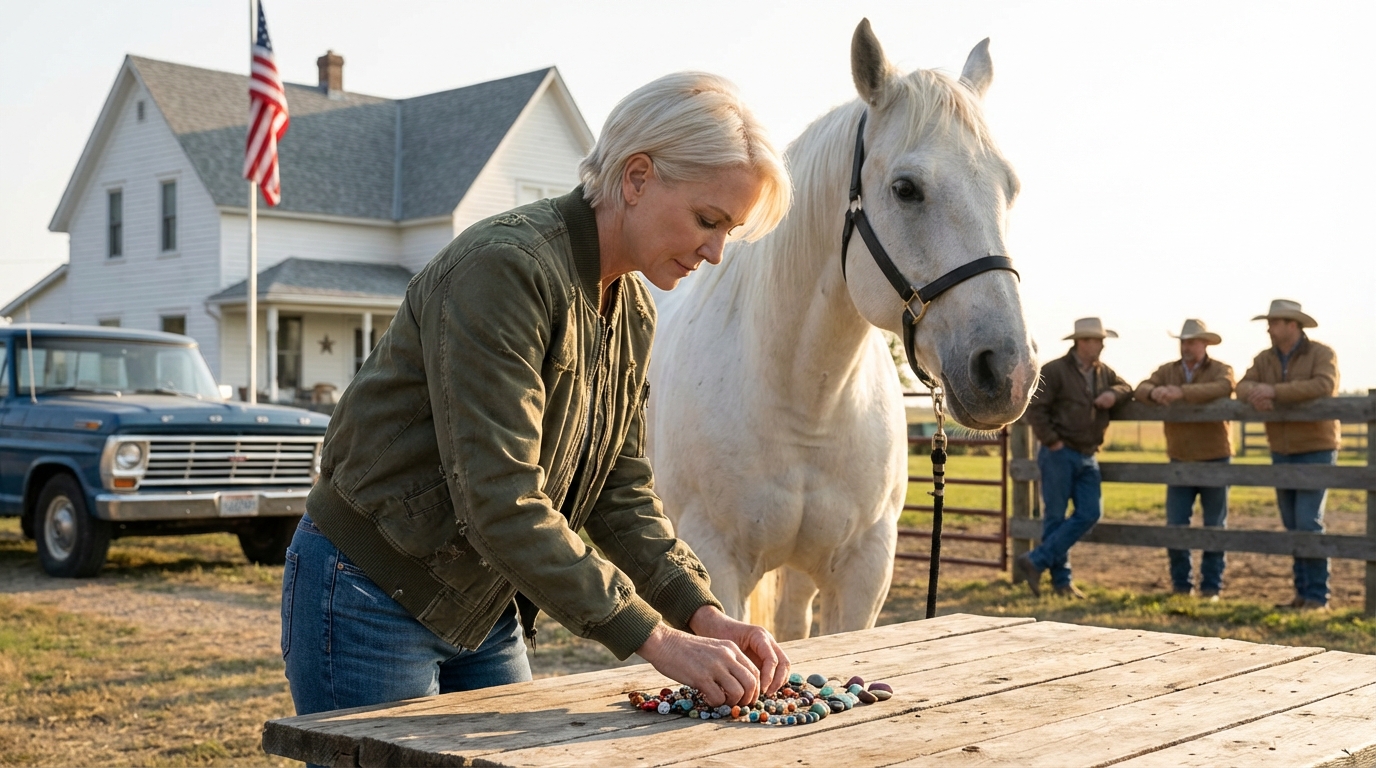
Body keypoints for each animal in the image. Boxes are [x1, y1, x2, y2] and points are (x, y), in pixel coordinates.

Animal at [646, 19, 1037, 640]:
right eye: (905, 188)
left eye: (1010, 188)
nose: (1007, 371)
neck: (806, 406)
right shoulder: (716, 561)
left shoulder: (861, 571)